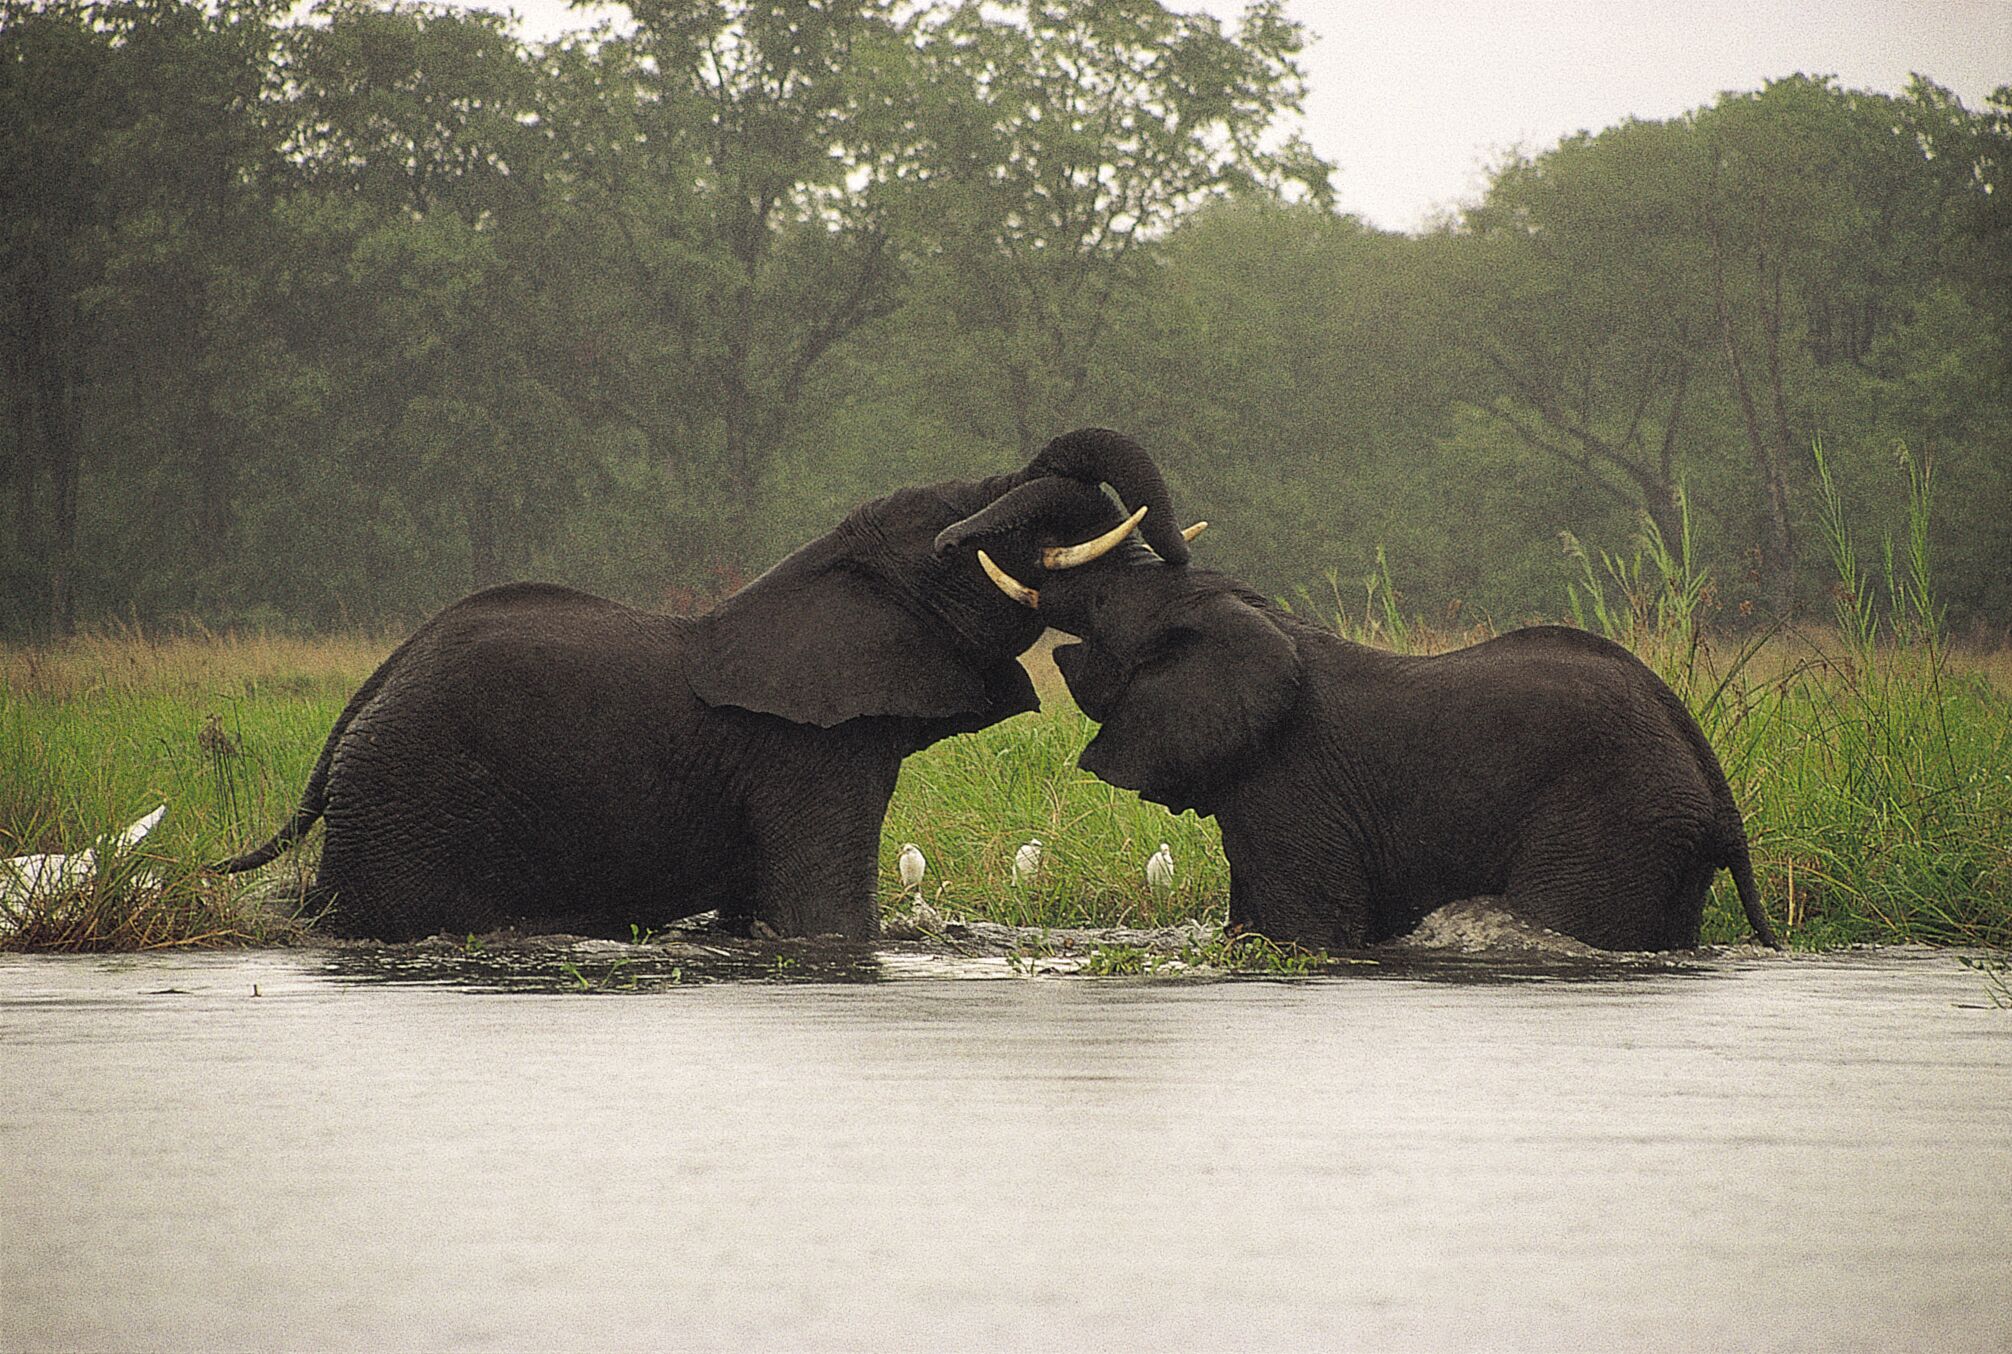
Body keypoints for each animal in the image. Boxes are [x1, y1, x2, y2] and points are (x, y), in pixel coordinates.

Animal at [215, 428, 1195, 942]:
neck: (816, 573)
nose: (1181, 557)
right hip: (411, 799)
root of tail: (368, 692)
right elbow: (822, 916)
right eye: (953, 527)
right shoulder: (805, 753)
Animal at [944, 520, 1781, 953]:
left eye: (1105, 603)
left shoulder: (1292, 787)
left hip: (1613, 822)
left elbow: (1308, 929)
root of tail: (1718, 792)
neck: (1265, 622)